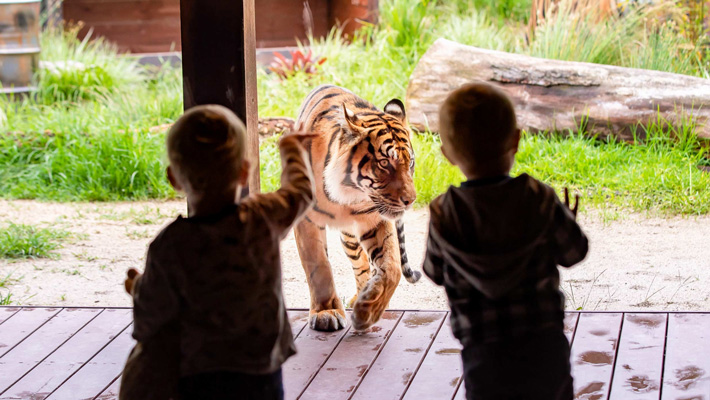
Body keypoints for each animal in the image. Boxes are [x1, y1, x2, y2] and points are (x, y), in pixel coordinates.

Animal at [294, 85, 421, 332]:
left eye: (410, 163)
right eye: (384, 163)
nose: (410, 200)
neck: (348, 195)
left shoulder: (376, 219)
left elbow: (391, 267)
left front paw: (368, 312)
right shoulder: (307, 220)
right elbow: (318, 265)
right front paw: (325, 313)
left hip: (351, 236)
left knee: (364, 264)